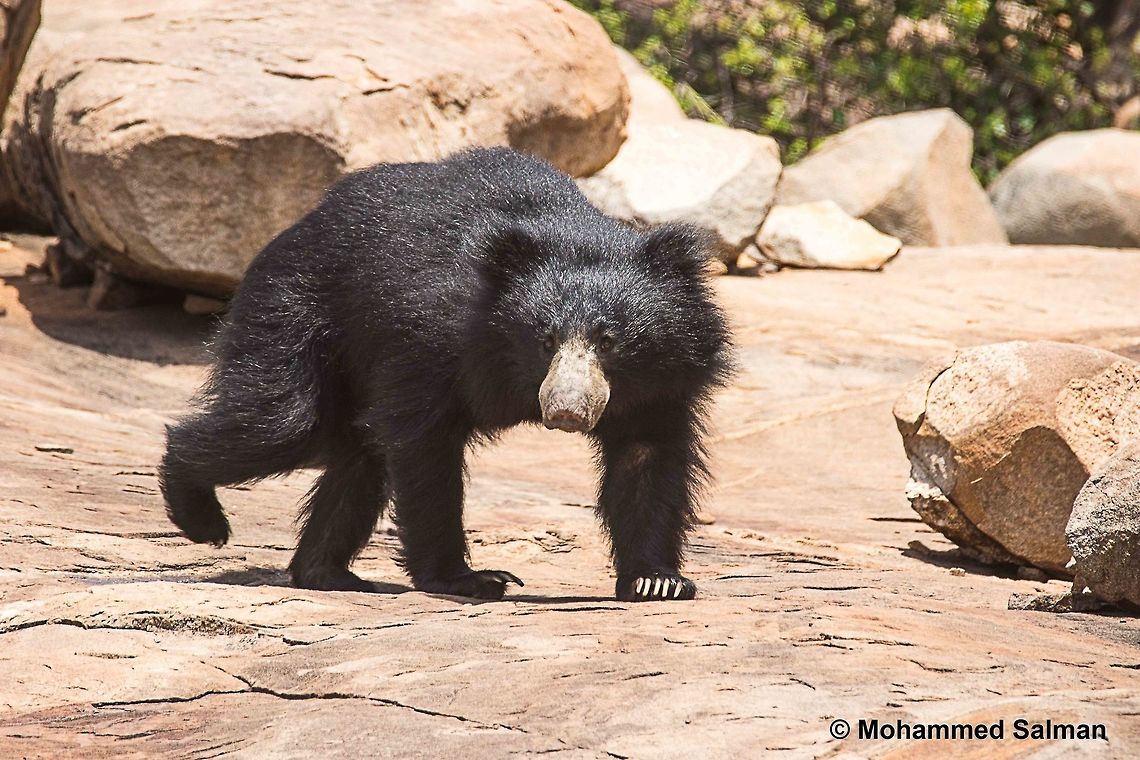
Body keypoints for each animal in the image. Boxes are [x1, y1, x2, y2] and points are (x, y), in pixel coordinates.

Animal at [159, 147, 733, 602]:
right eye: (546, 339)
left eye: (609, 341)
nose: (567, 411)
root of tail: (303, 221)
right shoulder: (430, 343)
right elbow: (425, 451)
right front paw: (470, 579)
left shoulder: (665, 376)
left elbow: (645, 458)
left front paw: (657, 581)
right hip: (297, 310)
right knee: (281, 422)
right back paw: (201, 516)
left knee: (358, 454)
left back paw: (326, 573)